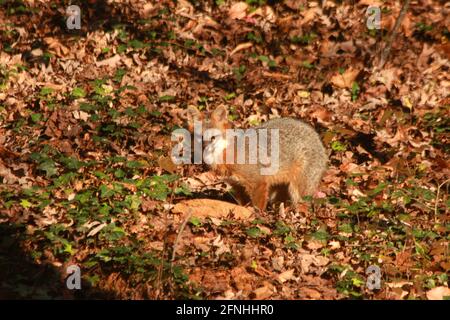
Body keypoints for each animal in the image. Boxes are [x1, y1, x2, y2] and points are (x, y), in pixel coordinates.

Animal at [186, 105, 326, 210]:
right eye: (199, 137)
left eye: (213, 137)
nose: (204, 148)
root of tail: (317, 136)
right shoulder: (238, 186)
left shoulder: (259, 182)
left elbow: (258, 208)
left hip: (298, 191)